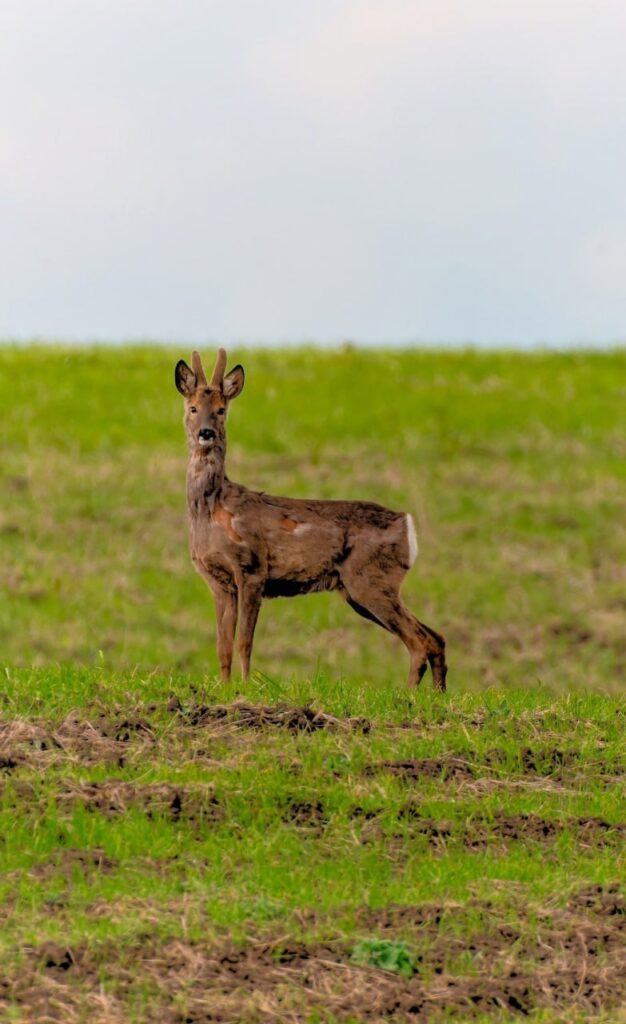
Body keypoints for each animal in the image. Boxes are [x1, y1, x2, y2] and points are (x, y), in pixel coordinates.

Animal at [174, 348, 448, 692]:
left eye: (221, 410)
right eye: (193, 407)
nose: (205, 433)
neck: (212, 511)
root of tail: (407, 524)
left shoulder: (252, 568)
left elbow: (244, 642)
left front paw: (247, 687)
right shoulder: (217, 580)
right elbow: (222, 645)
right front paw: (224, 688)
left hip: (370, 578)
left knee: (420, 640)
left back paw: (409, 694)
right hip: (360, 588)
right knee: (436, 637)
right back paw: (436, 695)